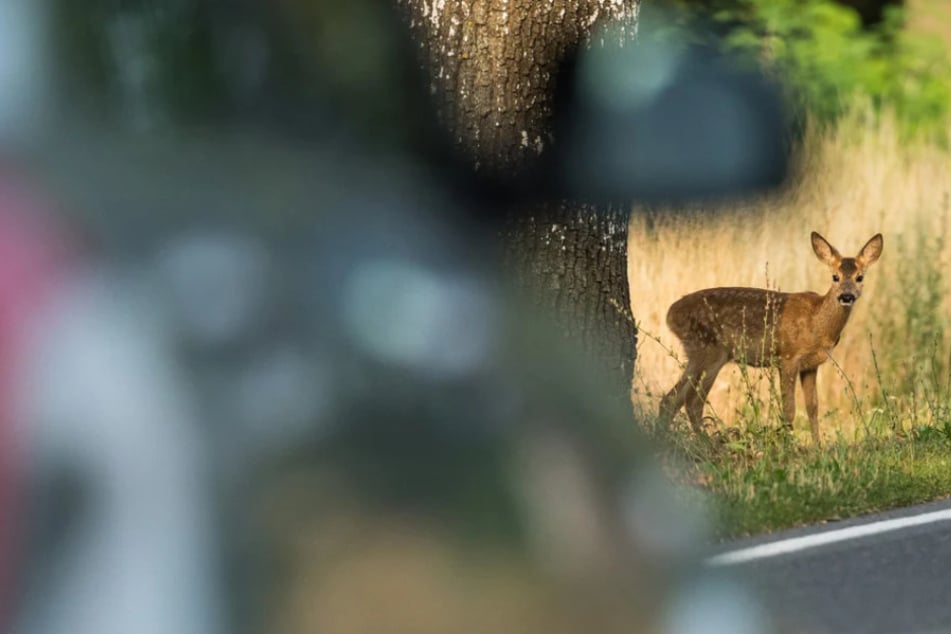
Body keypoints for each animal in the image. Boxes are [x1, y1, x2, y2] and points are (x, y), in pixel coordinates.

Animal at [660, 230, 880, 442]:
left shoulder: (810, 365)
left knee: (672, 399)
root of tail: (670, 314)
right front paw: (788, 445)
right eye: (835, 276)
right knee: (692, 402)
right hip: (710, 351)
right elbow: (789, 410)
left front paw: (818, 447)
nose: (846, 296)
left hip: (697, 353)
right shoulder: (788, 357)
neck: (817, 323)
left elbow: (813, 408)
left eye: (860, 277)